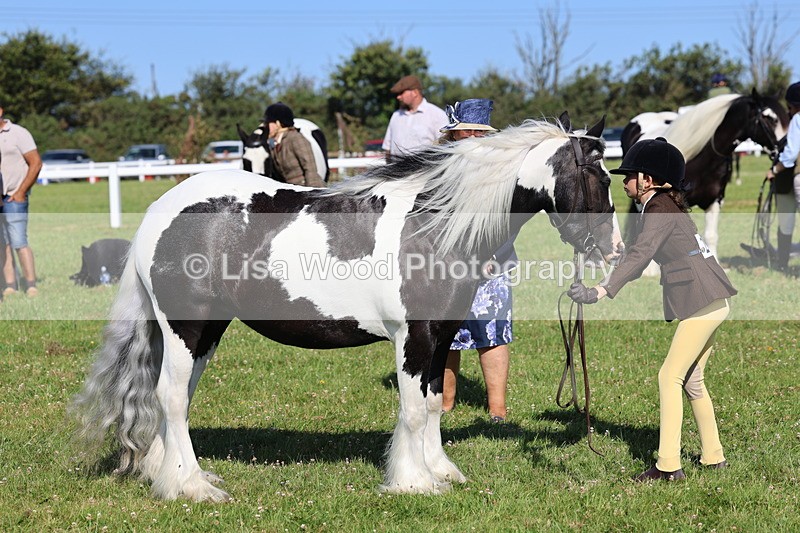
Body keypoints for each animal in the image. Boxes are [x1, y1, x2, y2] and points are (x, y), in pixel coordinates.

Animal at [69, 114, 618, 502]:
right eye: (601, 177)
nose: (611, 249)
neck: (433, 226)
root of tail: (158, 213)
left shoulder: (441, 335)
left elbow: (434, 403)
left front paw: (442, 472)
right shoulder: (414, 337)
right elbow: (413, 410)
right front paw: (413, 481)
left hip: (204, 332)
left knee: (173, 398)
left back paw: (173, 475)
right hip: (186, 326)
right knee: (171, 398)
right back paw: (191, 487)